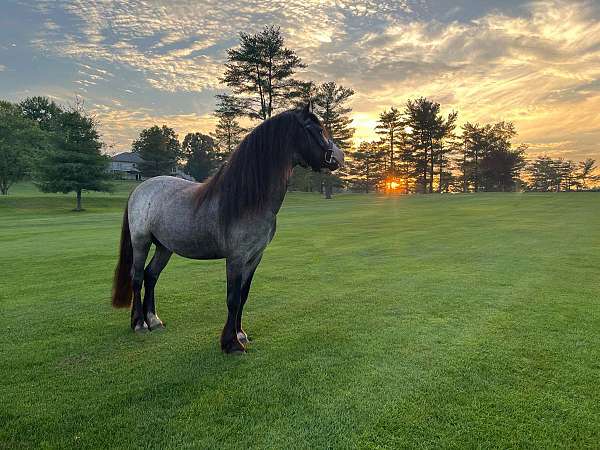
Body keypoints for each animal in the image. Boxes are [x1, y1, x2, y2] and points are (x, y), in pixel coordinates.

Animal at [111, 103, 342, 354]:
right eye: (317, 130)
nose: (339, 157)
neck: (249, 200)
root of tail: (140, 188)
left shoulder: (254, 257)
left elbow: (243, 295)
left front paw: (240, 334)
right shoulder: (236, 258)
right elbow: (232, 298)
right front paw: (231, 344)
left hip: (165, 247)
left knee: (151, 275)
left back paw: (154, 320)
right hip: (141, 242)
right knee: (137, 277)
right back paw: (140, 324)